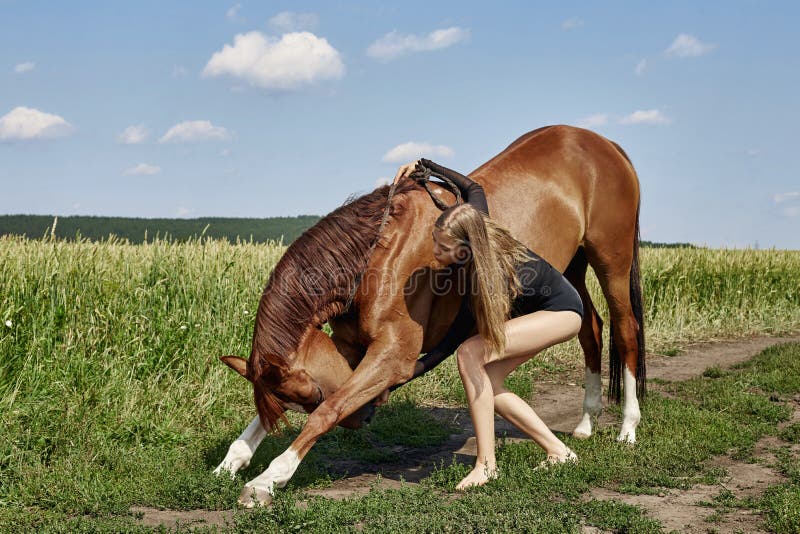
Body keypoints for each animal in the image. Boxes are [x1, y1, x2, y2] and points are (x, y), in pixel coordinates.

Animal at [212, 124, 644, 506]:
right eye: (296, 398)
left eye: (310, 394)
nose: (368, 415)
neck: (376, 253)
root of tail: (604, 143)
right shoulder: (349, 347)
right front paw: (232, 461)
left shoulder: (392, 356)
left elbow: (328, 412)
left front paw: (269, 479)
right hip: (573, 265)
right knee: (590, 329)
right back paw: (586, 423)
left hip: (611, 260)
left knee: (625, 331)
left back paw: (627, 428)